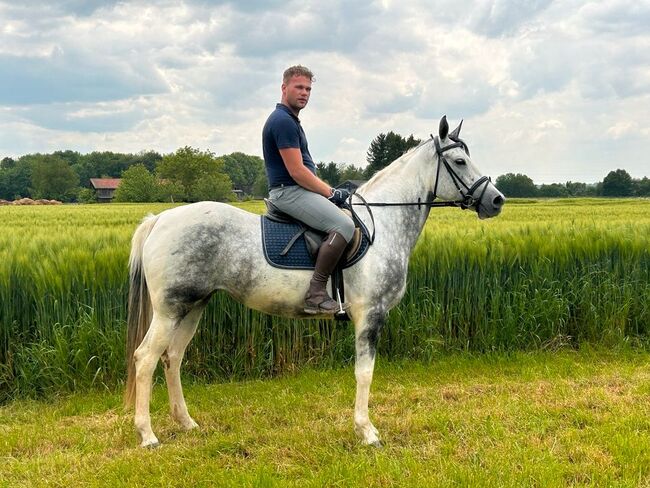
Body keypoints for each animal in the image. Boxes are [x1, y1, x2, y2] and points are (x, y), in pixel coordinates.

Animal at [124, 117, 504, 446]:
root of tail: (160, 219)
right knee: (146, 358)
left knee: (173, 357)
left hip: (193, 307)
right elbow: (364, 372)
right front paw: (367, 432)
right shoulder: (371, 315)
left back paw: (186, 423)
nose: (497, 200)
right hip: (170, 310)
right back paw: (148, 435)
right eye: (459, 161)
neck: (383, 223)